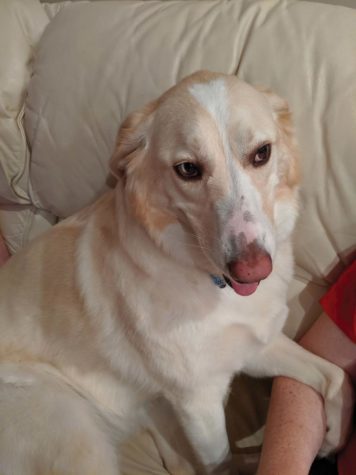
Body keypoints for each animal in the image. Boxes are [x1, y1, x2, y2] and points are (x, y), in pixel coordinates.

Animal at [0, 71, 350, 475]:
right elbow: (221, 461)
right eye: (188, 169)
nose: (253, 269)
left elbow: (335, 375)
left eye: (261, 153)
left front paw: (334, 437)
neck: (212, 286)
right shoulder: (199, 402)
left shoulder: (256, 347)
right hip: (78, 442)